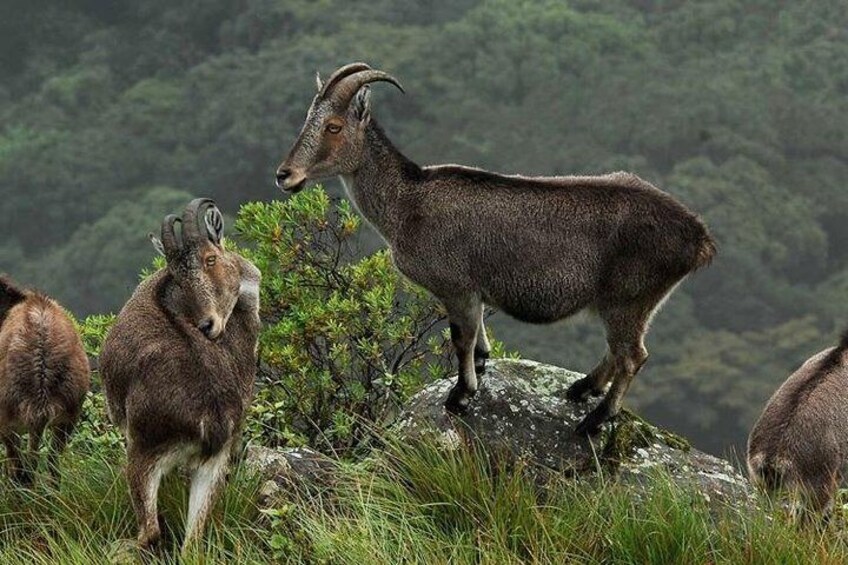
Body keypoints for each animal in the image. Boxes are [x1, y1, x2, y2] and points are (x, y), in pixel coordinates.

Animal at [100, 198, 260, 552]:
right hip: (213, 464)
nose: (207, 325)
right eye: (177, 274)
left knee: (150, 531)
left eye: (210, 258)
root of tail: (211, 417)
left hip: (143, 451)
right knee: (192, 541)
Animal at [276, 61, 716, 434]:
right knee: (620, 353)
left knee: (632, 356)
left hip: (628, 299)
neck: (407, 203)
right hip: (630, 305)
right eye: (307, 120)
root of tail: (698, 237)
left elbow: (461, 338)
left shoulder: (456, 287)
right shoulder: (473, 292)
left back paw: (594, 419)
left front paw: (460, 395)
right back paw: (580, 388)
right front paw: (482, 367)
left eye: (333, 126)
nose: (285, 175)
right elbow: (478, 338)